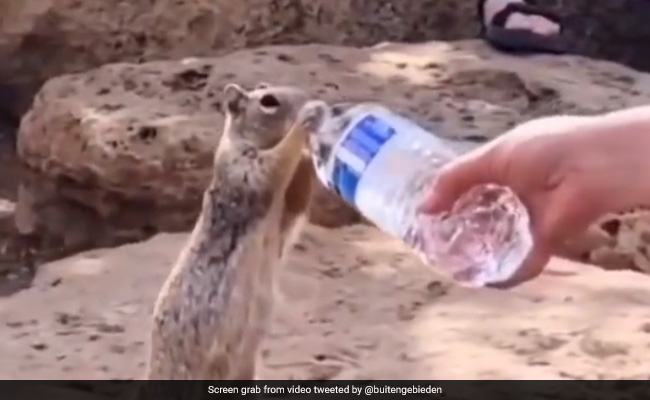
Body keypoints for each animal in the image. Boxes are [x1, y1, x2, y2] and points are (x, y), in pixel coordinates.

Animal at [145, 82, 315, 380]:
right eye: (268, 101)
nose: (310, 99)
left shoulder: (285, 210)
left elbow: (296, 205)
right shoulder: (245, 169)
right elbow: (275, 163)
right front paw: (305, 123)